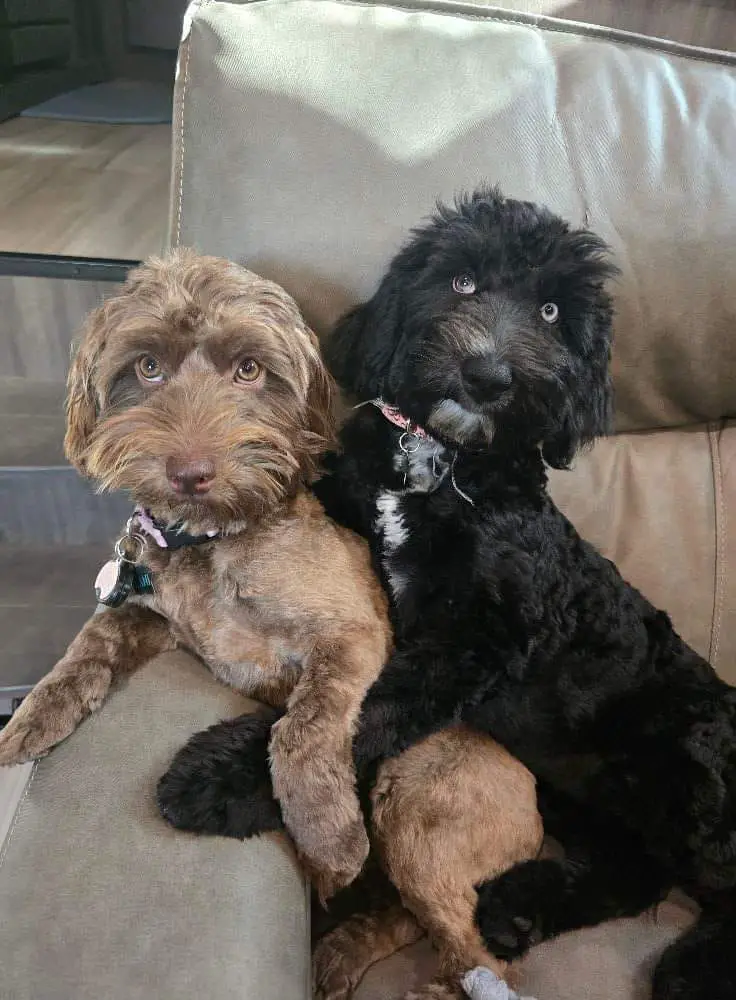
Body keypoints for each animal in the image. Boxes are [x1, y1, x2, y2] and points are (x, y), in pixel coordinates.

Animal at [0, 250, 540, 992]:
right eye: (147, 366)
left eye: (250, 369)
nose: (189, 472)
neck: (215, 540)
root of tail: (540, 808)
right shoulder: (148, 614)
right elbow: (86, 648)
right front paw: (26, 726)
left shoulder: (351, 636)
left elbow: (302, 732)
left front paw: (327, 839)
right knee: (410, 920)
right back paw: (340, 953)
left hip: (418, 809)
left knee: (477, 951)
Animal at [158, 189, 736, 1000]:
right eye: (462, 282)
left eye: (552, 311)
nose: (488, 374)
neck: (438, 463)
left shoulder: (476, 637)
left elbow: (363, 709)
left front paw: (222, 778)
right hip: (586, 787)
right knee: (635, 873)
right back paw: (520, 908)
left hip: (680, 765)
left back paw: (691, 966)